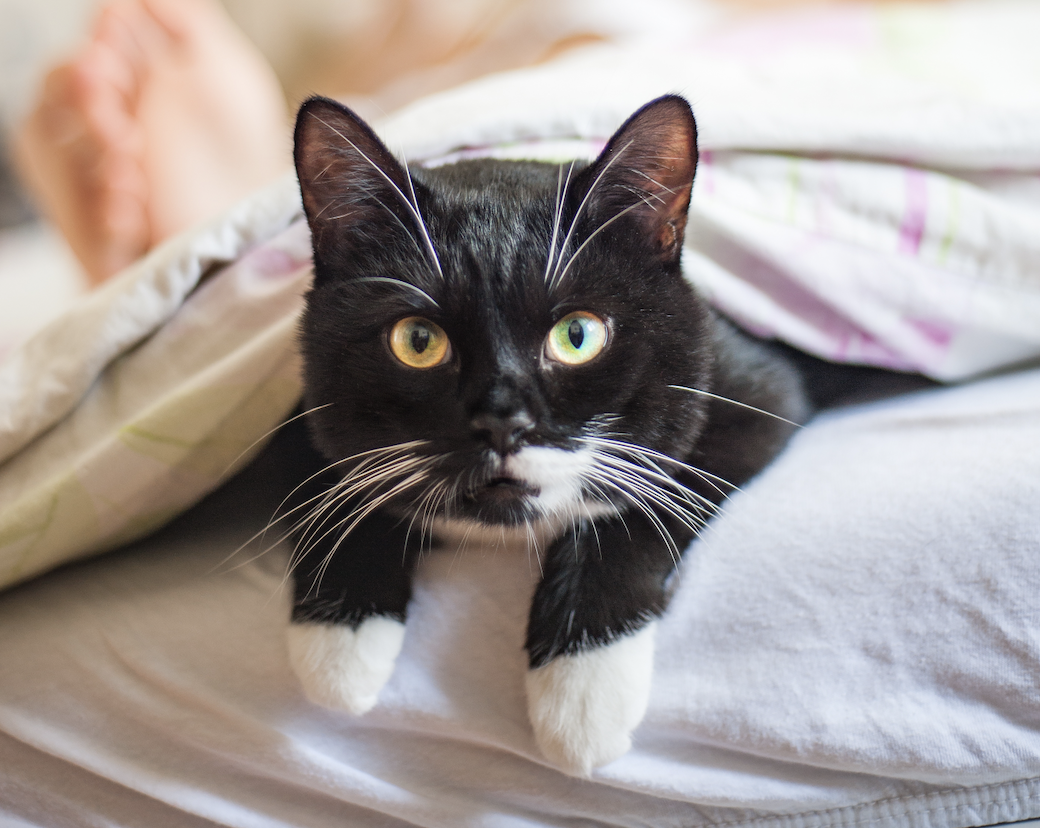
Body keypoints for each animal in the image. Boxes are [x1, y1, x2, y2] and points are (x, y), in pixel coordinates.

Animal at [282, 95, 811, 778]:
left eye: (577, 336)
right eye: (418, 341)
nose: (502, 420)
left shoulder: (755, 392)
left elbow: (645, 500)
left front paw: (582, 687)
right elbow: (322, 471)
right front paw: (339, 641)